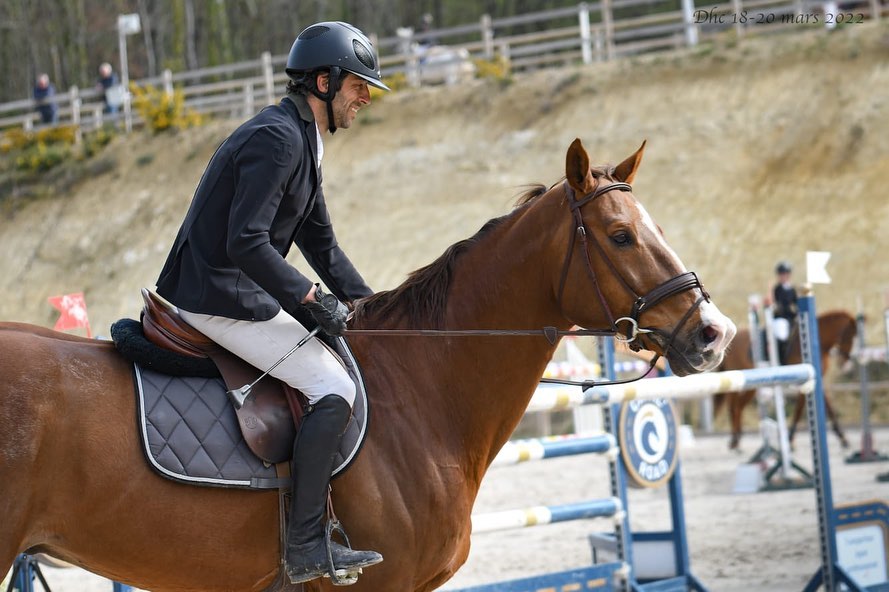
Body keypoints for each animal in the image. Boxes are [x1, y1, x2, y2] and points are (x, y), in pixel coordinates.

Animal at [716, 310, 852, 448]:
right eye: (849, 336)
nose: (846, 364)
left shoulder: (815, 380)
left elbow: (829, 407)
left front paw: (843, 437)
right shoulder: (803, 383)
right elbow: (798, 410)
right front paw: (790, 439)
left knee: (737, 407)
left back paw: (736, 440)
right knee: (735, 407)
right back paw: (735, 441)